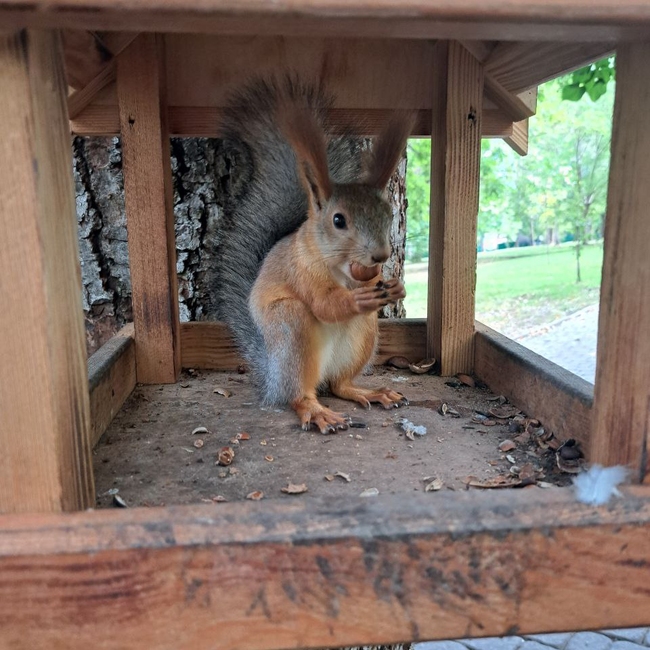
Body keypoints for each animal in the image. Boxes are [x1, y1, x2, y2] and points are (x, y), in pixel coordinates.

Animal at [216, 76, 414, 433]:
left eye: (389, 214)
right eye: (338, 220)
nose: (380, 256)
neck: (344, 272)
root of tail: (272, 376)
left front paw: (396, 287)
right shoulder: (301, 270)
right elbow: (324, 304)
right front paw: (357, 299)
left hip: (362, 338)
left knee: (339, 384)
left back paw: (369, 392)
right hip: (291, 329)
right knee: (298, 394)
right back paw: (316, 410)